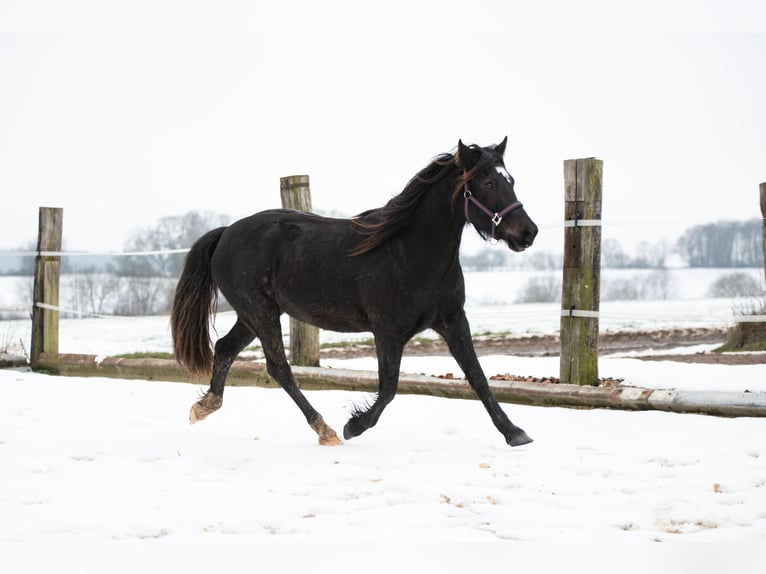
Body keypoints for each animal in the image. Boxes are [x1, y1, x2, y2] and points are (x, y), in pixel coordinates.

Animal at [170, 137, 538, 447]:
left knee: (225, 348)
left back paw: (204, 406)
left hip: (253, 316)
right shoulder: (388, 331)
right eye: (489, 183)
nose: (528, 232)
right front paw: (353, 426)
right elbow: (388, 387)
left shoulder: (452, 320)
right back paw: (325, 429)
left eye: (511, 180)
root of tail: (225, 233)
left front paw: (515, 433)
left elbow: (478, 377)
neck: (410, 252)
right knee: (278, 368)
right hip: (260, 312)